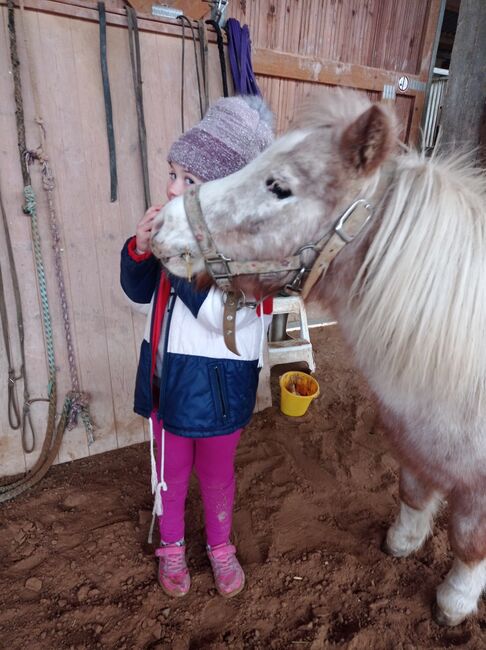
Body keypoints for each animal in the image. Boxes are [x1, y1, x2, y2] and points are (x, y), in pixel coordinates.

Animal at [152, 88, 486, 624]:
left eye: (279, 186)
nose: (161, 226)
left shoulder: (477, 487)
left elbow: (469, 542)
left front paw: (455, 601)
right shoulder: (415, 441)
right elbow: (413, 493)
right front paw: (402, 543)